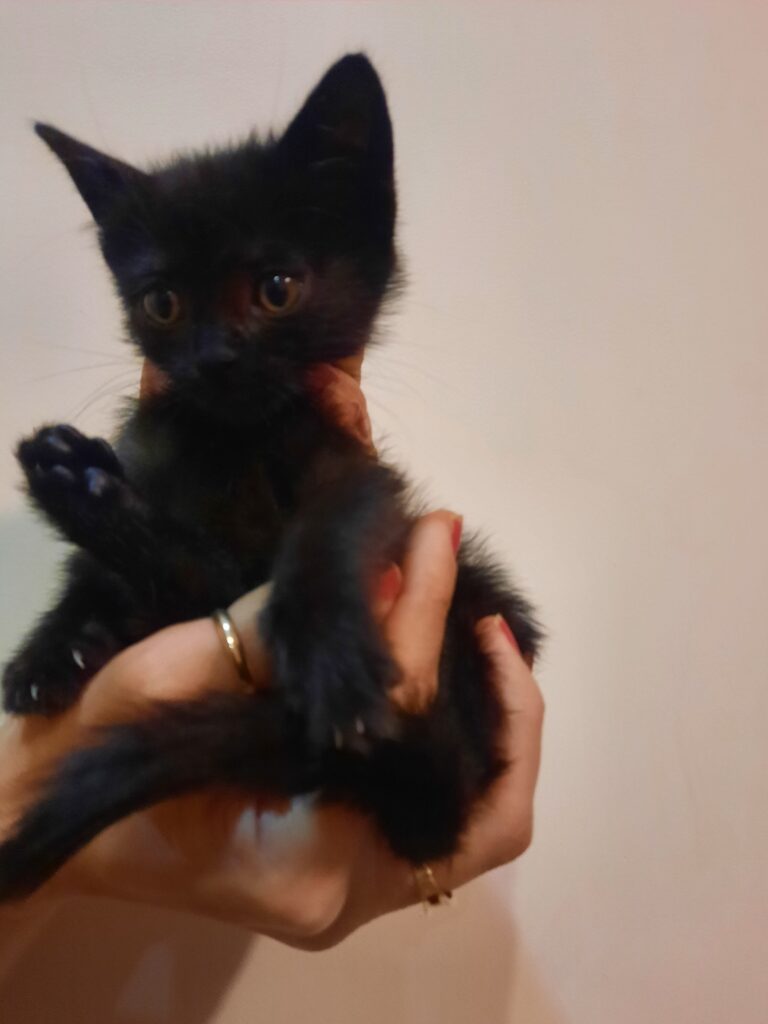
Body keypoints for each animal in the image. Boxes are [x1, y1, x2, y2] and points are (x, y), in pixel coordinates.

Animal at [0, 54, 541, 900]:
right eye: (163, 303)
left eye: (277, 288)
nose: (216, 357)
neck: (234, 443)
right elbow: (95, 577)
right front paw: (52, 648)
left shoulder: (357, 469)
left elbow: (334, 522)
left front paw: (325, 650)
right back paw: (78, 487)